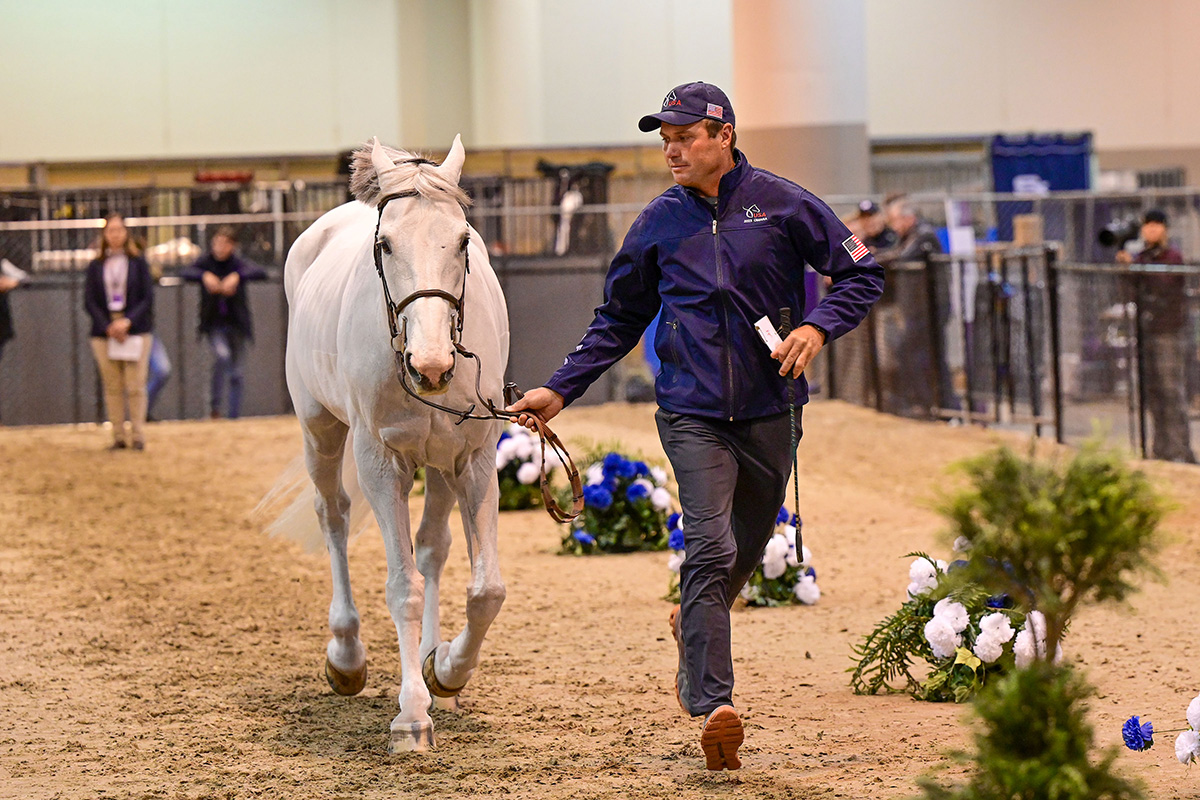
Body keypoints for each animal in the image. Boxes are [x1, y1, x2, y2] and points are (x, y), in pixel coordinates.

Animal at [283, 134, 508, 753]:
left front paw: (445, 670)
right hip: (320, 429)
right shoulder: (382, 464)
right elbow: (402, 585)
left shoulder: (473, 459)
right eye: (384, 245)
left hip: (439, 466)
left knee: (432, 546)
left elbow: (485, 589)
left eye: (463, 241)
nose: (431, 366)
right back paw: (346, 656)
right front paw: (411, 715)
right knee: (332, 516)